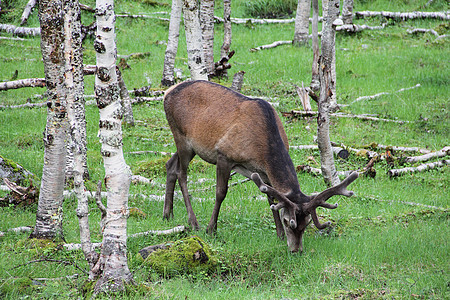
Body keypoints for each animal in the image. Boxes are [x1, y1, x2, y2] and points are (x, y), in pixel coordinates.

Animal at [162, 80, 358, 253]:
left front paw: (279, 235)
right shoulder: (224, 155)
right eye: (288, 221)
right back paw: (193, 222)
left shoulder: (263, 172)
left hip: (191, 147)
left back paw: (167, 214)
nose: (296, 250)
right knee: (181, 173)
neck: (262, 149)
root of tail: (167, 92)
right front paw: (211, 229)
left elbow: (271, 199)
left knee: (170, 164)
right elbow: (220, 193)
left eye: (307, 223)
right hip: (181, 136)